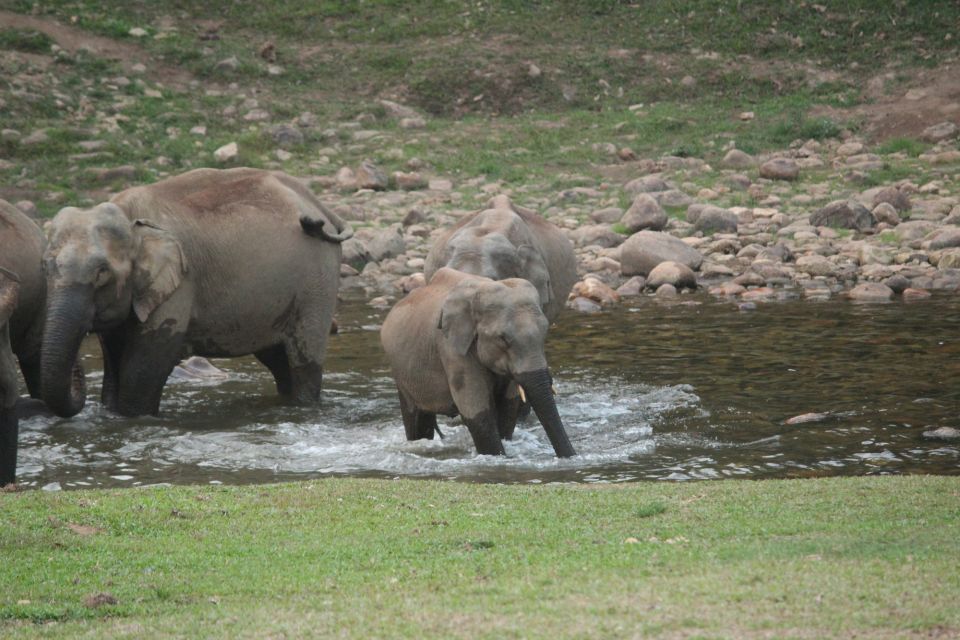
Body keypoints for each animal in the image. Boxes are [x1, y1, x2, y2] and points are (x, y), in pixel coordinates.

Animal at [42, 165, 352, 418]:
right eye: (46, 266)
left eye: (102, 272)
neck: (129, 217)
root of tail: (320, 206)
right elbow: (114, 358)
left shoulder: (180, 286)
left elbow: (146, 364)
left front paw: (133, 418)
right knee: (277, 360)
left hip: (317, 279)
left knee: (303, 361)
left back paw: (302, 406)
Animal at [380, 268, 576, 458]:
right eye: (503, 338)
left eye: (545, 332)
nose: (570, 457)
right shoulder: (451, 348)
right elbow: (477, 412)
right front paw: (499, 458)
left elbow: (508, 407)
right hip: (402, 374)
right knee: (416, 419)